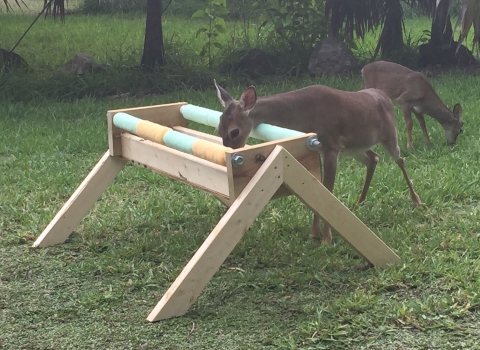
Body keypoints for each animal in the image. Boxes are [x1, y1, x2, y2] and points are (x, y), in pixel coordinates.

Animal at [214, 80, 420, 243]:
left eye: (234, 131)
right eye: (219, 128)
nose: (229, 152)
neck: (302, 115)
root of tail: (385, 97)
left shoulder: (331, 147)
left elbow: (327, 190)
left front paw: (326, 238)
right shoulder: (321, 149)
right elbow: (319, 188)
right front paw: (314, 233)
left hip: (389, 135)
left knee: (400, 159)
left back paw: (416, 200)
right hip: (355, 148)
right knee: (373, 158)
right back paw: (360, 201)